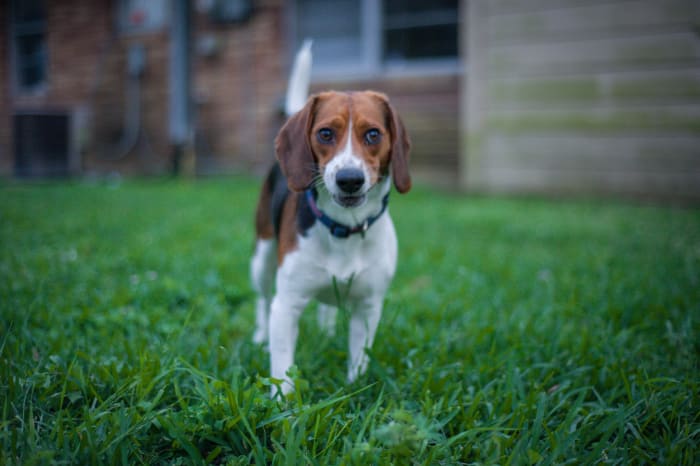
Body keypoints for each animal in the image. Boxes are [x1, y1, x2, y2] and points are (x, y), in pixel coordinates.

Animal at [250, 43, 410, 396]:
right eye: (325, 133)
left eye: (373, 134)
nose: (349, 179)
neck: (344, 228)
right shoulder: (286, 306)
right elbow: (282, 369)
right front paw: (281, 406)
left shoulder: (368, 307)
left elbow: (359, 361)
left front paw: (355, 390)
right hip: (262, 257)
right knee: (262, 300)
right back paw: (259, 337)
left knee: (326, 305)